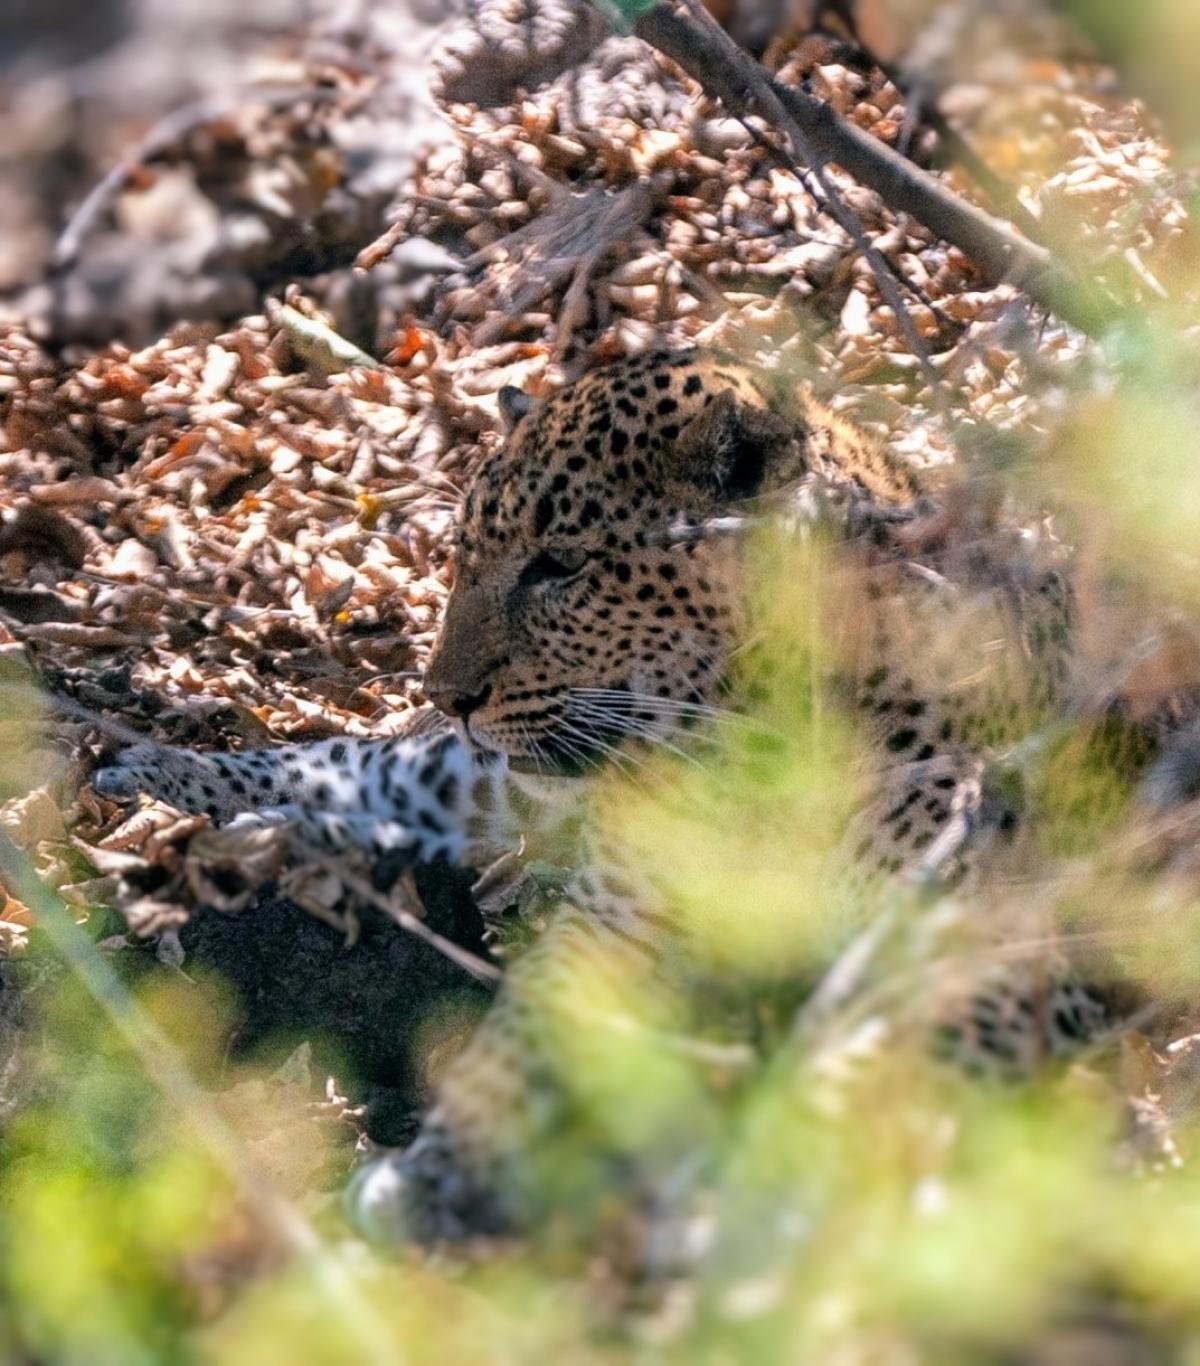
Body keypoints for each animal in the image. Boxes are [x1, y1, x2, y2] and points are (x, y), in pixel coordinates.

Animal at [92, 348, 1116, 1245]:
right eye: (462, 556)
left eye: (561, 567)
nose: (445, 692)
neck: (758, 744)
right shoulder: (623, 913)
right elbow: (527, 1034)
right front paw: (435, 1176)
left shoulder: (995, 944)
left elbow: (876, 1074)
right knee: (375, 765)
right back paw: (165, 778)